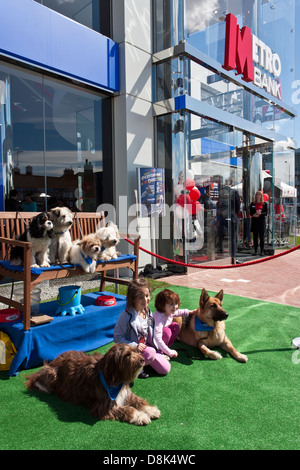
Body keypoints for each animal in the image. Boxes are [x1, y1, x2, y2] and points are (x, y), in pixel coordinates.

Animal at [25, 344, 161, 424]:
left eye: (135, 351)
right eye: (127, 355)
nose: (142, 360)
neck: (113, 378)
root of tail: (56, 358)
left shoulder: (126, 393)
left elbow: (138, 401)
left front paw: (150, 410)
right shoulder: (103, 407)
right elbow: (127, 409)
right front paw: (140, 416)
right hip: (52, 374)